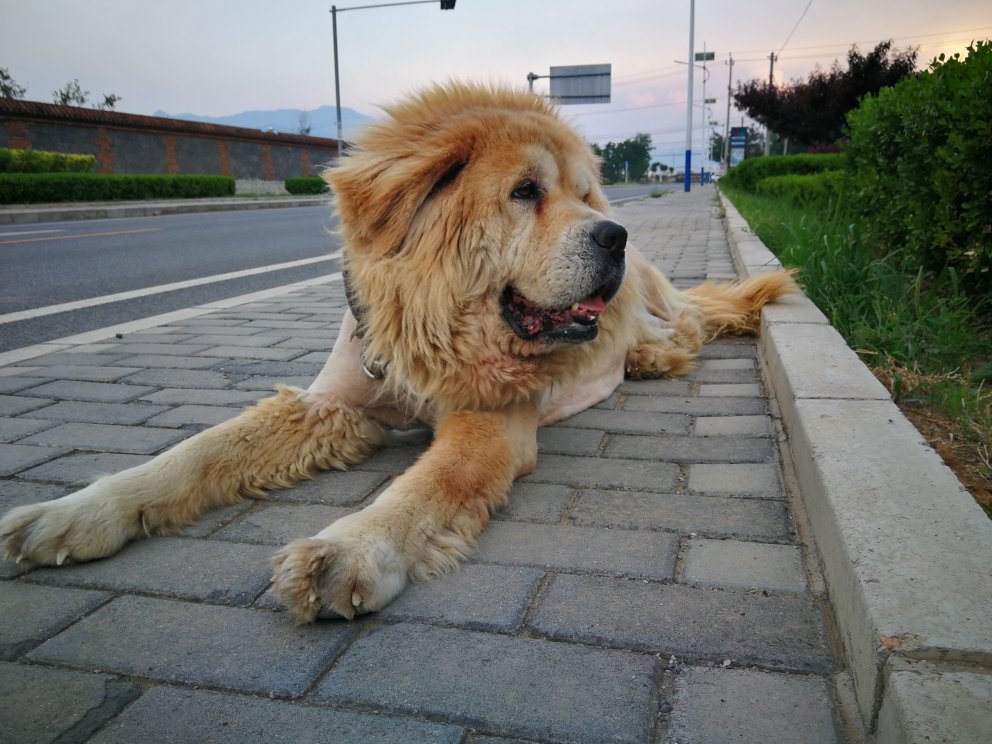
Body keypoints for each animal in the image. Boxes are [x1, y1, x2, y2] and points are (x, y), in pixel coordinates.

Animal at [0, 84, 800, 620]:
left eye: (585, 194)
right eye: (525, 192)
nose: (614, 232)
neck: (436, 321)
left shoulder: (488, 424)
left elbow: (421, 488)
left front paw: (353, 549)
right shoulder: (330, 407)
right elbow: (196, 452)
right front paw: (78, 513)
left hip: (651, 294)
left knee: (686, 324)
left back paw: (651, 357)